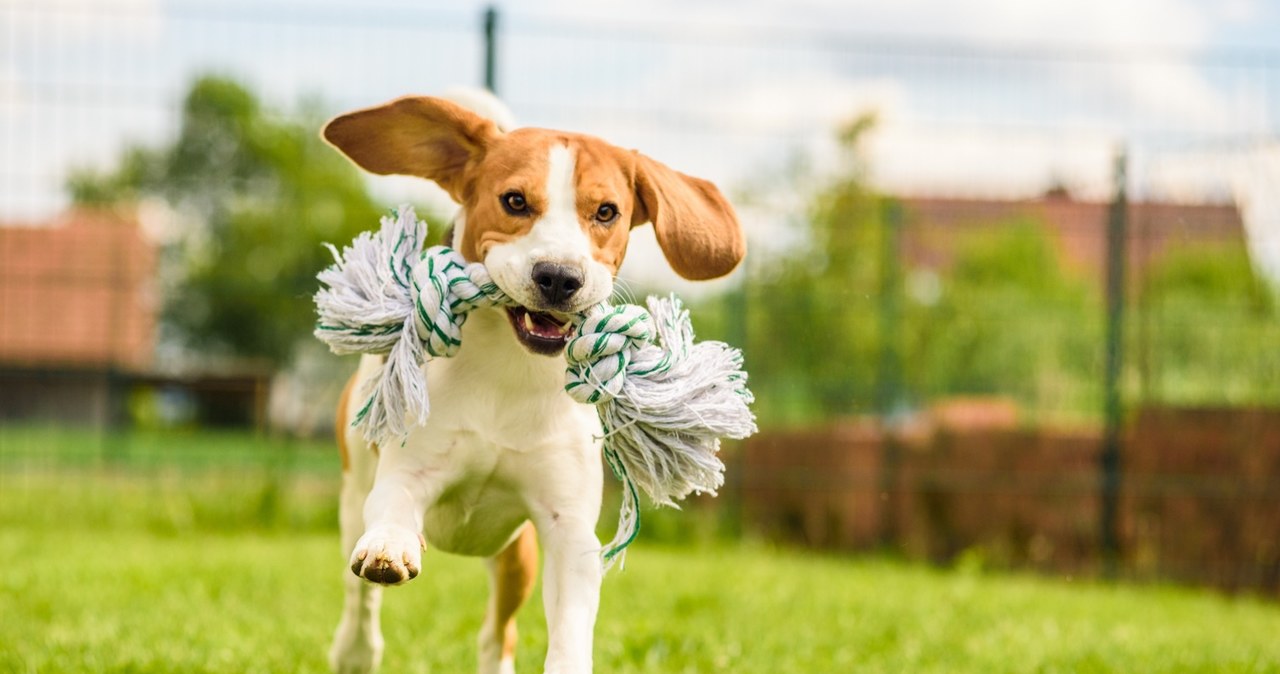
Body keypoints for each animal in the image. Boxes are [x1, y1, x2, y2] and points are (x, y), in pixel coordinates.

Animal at [322, 93, 747, 674]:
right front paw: (389, 547)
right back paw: (356, 649)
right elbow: (390, 516)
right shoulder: (407, 473)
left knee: (496, 633)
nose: (560, 277)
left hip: (515, 555)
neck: (510, 373)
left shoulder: (567, 529)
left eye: (607, 212)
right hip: (353, 495)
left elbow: (568, 628)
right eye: (515, 201)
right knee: (359, 595)